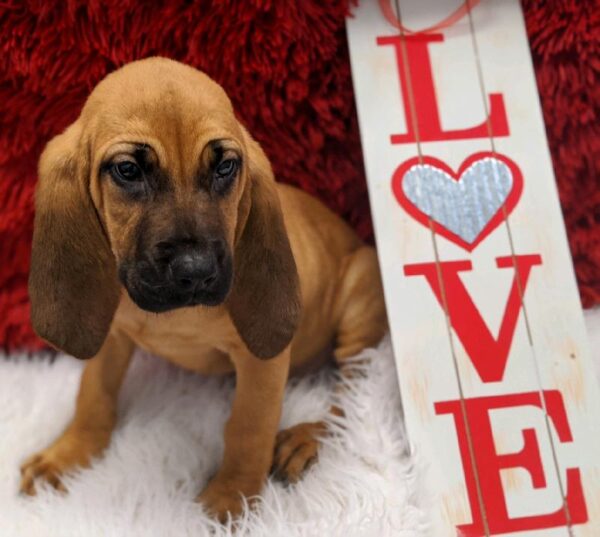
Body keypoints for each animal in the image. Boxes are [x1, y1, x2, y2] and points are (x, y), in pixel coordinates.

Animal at [22, 57, 384, 520]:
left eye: (225, 167)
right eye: (128, 170)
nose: (195, 271)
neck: (172, 318)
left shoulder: (261, 363)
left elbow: (249, 426)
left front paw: (230, 498)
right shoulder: (111, 334)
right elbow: (93, 395)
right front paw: (68, 454)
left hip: (362, 291)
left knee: (353, 396)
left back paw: (307, 437)